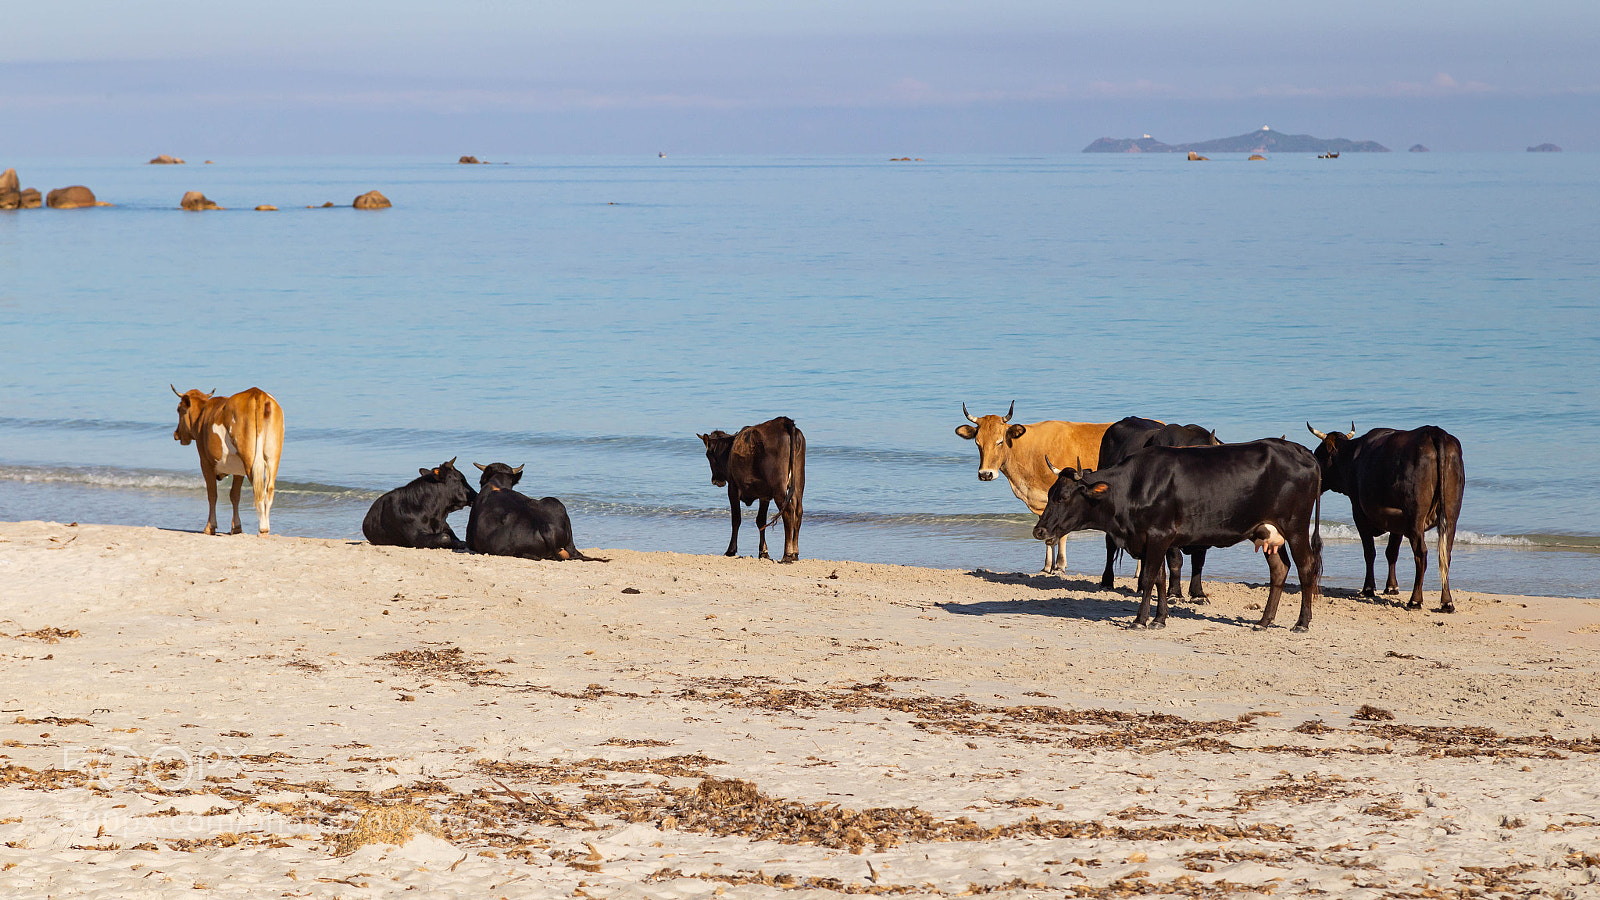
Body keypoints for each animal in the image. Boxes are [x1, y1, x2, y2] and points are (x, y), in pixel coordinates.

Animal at [171, 386, 284, 535]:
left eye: (179, 409)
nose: (176, 434)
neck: (202, 415)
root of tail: (257, 393)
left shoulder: (205, 462)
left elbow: (212, 494)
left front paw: (210, 527)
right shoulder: (238, 469)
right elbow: (234, 495)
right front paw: (236, 527)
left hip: (250, 461)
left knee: (259, 490)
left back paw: (263, 528)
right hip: (272, 458)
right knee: (269, 489)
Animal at [698, 416, 806, 562]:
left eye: (708, 454)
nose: (716, 480)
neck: (729, 451)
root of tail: (784, 422)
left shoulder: (733, 488)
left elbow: (736, 519)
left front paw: (731, 550)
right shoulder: (764, 495)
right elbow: (760, 520)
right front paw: (763, 552)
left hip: (779, 488)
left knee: (788, 511)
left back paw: (787, 554)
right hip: (799, 483)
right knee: (798, 511)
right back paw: (795, 553)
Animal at [1033, 439, 1323, 631]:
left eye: (1063, 496)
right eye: (1050, 493)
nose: (1039, 530)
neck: (1134, 486)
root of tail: (1302, 451)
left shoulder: (1158, 535)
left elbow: (1149, 578)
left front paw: (1140, 620)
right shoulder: (1155, 541)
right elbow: (1161, 579)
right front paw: (1159, 619)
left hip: (1295, 527)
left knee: (1306, 567)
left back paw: (1302, 622)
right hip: (1266, 531)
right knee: (1280, 569)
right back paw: (1264, 621)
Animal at [1096, 417, 1223, 597]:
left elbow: (1198, 561)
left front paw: (1197, 593)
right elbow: (1176, 560)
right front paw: (1175, 593)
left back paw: (1141, 585)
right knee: (1110, 544)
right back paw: (1107, 581)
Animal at [1306, 423, 1465, 613]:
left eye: (1318, 454)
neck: (1353, 458)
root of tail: (1434, 431)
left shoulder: (1359, 514)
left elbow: (1369, 552)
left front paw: (1369, 588)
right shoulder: (1397, 522)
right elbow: (1391, 552)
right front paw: (1391, 587)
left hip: (1415, 518)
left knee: (1421, 554)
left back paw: (1415, 600)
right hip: (1451, 516)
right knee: (1445, 554)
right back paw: (1447, 602)